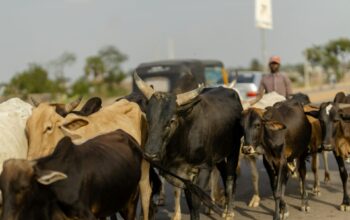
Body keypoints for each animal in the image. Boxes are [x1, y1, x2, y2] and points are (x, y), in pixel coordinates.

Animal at [133, 73, 242, 219]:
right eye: (148, 118)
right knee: (225, 175)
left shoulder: (203, 169)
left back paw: (229, 211)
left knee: (230, 178)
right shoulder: (183, 177)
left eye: (171, 120)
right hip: (219, 155)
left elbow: (195, 202)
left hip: (234, 150)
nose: (150, 153)